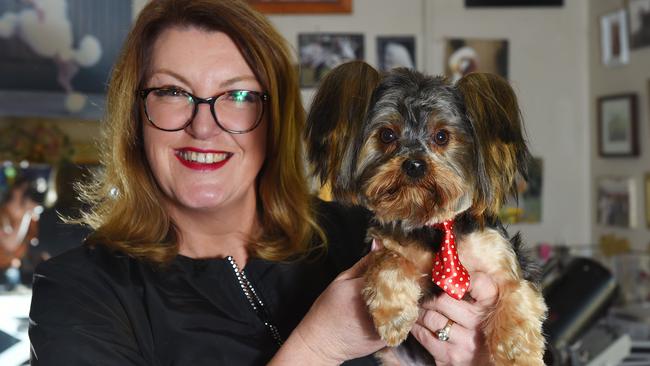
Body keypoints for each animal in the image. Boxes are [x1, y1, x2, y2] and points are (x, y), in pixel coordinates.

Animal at [306, 61, 548, 364]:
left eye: (441, 136)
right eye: (387, 134)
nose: (414, 165)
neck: (432, 225)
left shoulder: (503, 260)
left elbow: (518, 291)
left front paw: (518, 353)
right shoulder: (378, 246)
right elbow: (389, 259)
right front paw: (393, 316)